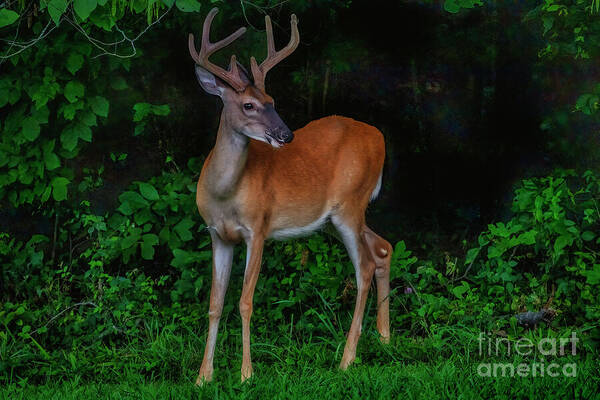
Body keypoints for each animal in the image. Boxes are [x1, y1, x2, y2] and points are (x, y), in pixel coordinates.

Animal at [189, 8, 394, 384]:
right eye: (249, 105)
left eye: (272, 102)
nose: (286, 135)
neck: (225, 194)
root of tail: (380, 137)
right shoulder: (217, 234)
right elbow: (214, 304)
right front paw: (203, 377)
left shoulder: (258, 228)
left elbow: (245, 301)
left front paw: (246, 374)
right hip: (332, 219)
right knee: (382, 247)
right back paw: (384, 339)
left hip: (351, 204)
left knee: (365, 266)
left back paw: (347, 359)